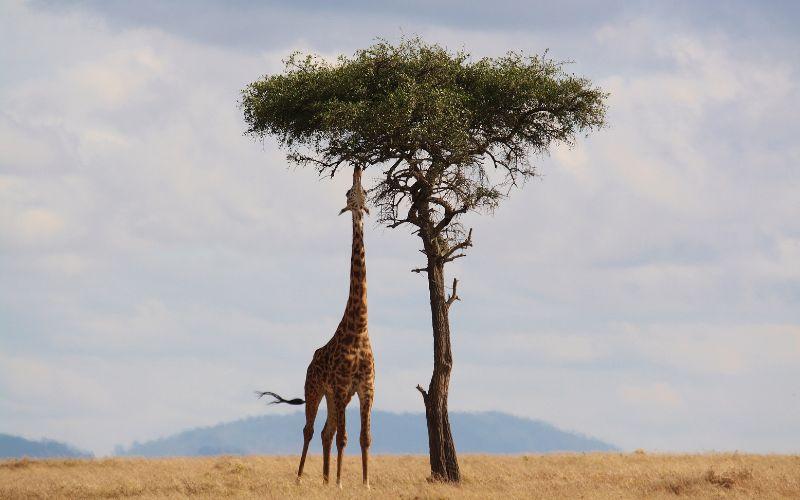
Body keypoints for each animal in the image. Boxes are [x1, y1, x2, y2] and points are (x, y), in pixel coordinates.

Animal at [258, 165, 375, 489]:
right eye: (349, 193)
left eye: (364, 191)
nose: (357, 168)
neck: (359, 329)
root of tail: (311, 361)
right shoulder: (343, 385)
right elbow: (345, 438)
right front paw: (341, 483)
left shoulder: (366, 388)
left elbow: (364, 437)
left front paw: (365, 483)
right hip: (315, 389)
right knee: (310, 430)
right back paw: (301, 478)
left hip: (334, 397)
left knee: (326, 431)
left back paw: (323, 480)